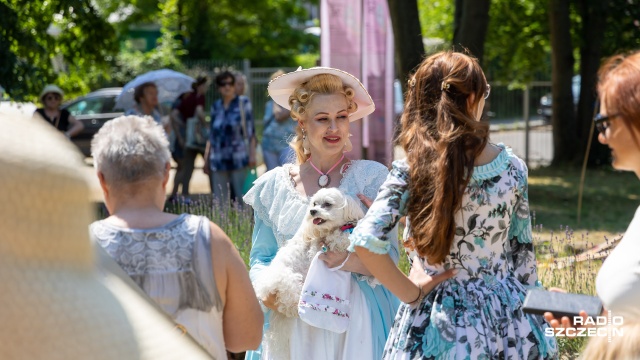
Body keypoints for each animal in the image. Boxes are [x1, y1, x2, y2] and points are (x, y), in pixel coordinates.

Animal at [255, 187, 364, 358]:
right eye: (314, 204)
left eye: (327, 204)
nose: (312, 211)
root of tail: (261, 289)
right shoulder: (318, 249)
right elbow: (338, 240)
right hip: (287, 280)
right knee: (288, 302)